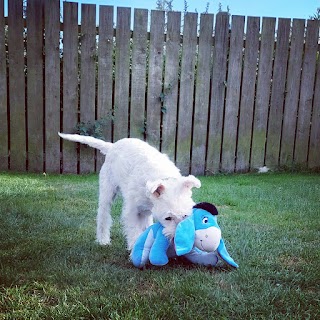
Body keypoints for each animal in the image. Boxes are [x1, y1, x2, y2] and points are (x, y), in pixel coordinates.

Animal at [57, 132, 200, 250]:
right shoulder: (132, 211)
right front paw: (135, 248)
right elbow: (134, 230)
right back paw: (103, 240)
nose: (178, 240)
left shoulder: (144, 211)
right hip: (107, 192)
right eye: (168, 218)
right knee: (103, 215)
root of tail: (112, 146)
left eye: (185, 216)